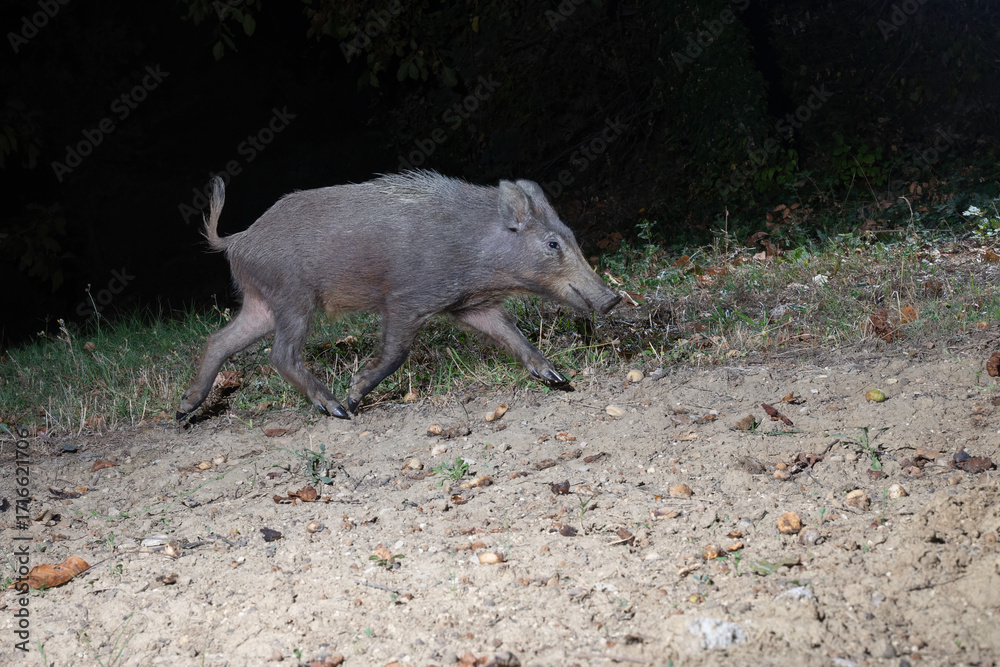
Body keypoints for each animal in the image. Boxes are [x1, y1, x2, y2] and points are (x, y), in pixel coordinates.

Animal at [177, 171, 621, 420]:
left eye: (571, 235)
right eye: (551, 244)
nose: (613, 299)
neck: (479, 256)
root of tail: (237, 239)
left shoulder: (471, 305)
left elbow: (512, 335)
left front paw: (559, 380)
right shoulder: (405, 300)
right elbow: (396, 352)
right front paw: (355, 395)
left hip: (262, 304)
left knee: (218, 340)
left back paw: (184, 411)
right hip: (293, 298)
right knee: (279, 355)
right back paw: (337, 410)